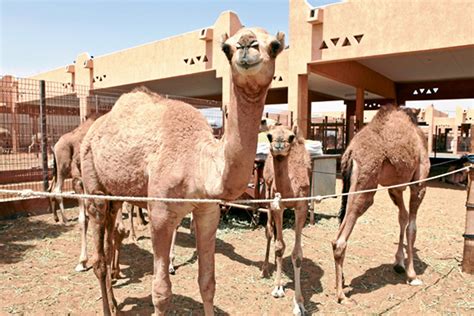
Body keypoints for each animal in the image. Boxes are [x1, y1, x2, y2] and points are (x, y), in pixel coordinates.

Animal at [80, 27, 286, 316]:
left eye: (276, 46)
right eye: (226, 48)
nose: (247, 45)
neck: (198, 164)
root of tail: (93, 129)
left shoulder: (208, 211)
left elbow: (208, 283)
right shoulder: (160, 213)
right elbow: (161, 292)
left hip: (115, 193)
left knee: (110, 242)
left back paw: (117, 303)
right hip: (94, 187)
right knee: (99, 257)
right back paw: (108, 306)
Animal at [260, 124, 312, 314]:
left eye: (290, 137)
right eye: (269, 136)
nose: (279, 146)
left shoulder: (302, 206)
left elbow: (297, 254)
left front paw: (299, 304)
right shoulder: (278, 205)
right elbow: (279, 246)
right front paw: (277, 287)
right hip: (267, 193)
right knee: (269, 231)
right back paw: (265, 270)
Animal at [334, 105, 430, 304]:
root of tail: (351, 153)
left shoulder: (395, 187)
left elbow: (403, 217)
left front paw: (399, 263)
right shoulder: (419, 182)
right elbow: (412, 228)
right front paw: (412, 275)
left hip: (351, 186)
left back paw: (342, 281)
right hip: (365, 185)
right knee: (339, 240)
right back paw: (342, 296)